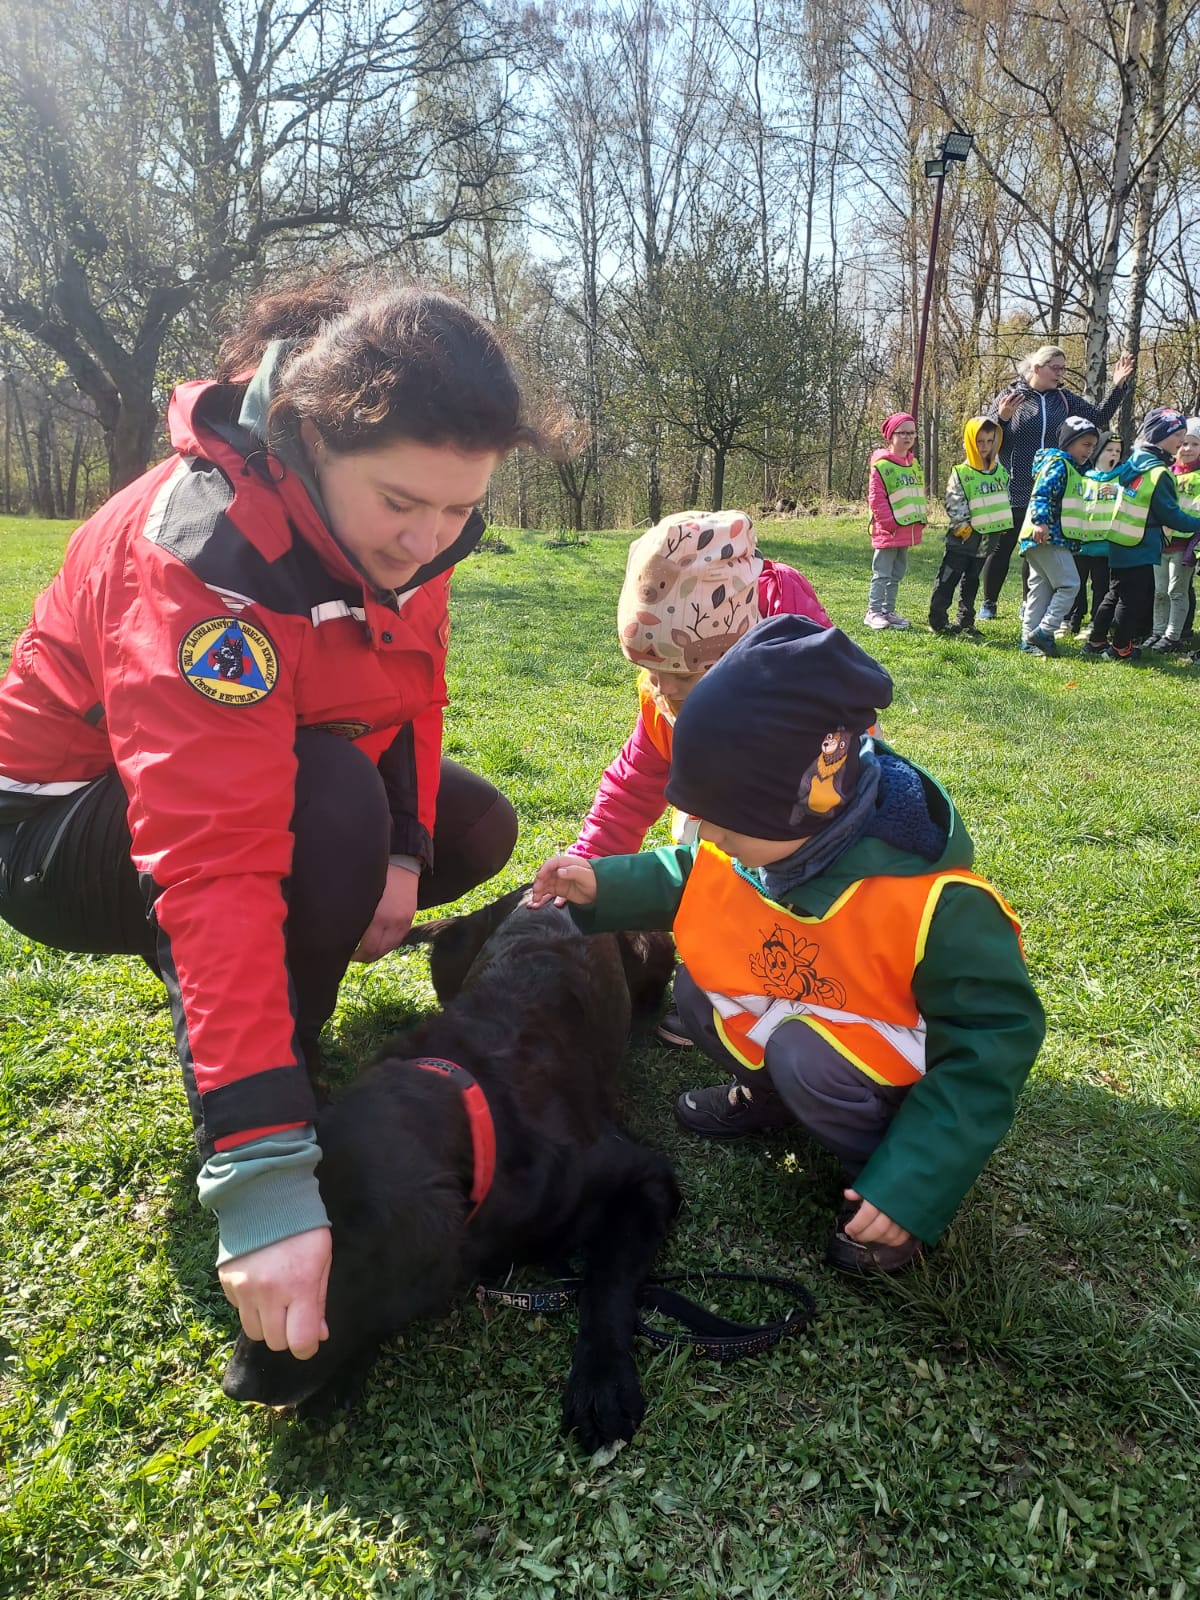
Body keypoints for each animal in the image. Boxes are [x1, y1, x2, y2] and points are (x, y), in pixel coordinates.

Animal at [220, 889, 681, 1452]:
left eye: (322, 1273)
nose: (235, 1385)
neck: (476, 1099)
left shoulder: (645, 1177)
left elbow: (606, 1280)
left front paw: (602, 1383)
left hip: (654, 945)